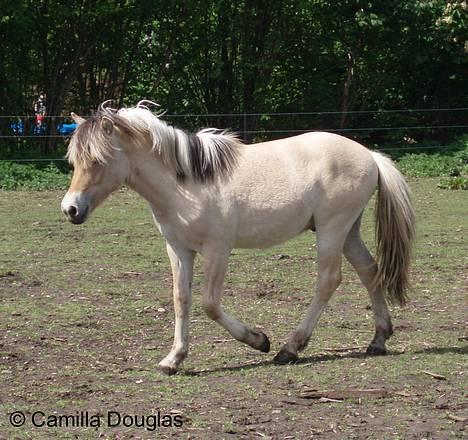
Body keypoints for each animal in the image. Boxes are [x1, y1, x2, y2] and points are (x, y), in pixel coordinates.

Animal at [60, 102, 414, 374]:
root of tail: (370, 155)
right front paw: (173, 359)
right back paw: (378, 340)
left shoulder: (218, 249)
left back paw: (289, 348)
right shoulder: (178, 249)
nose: (70, 209)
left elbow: (209, 303)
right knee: (369, 271)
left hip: (332, 230)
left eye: (98, 160)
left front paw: (259, 340)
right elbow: (181, 299)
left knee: (328, 280)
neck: (184, 184)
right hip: (347, 231)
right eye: (74, 161)